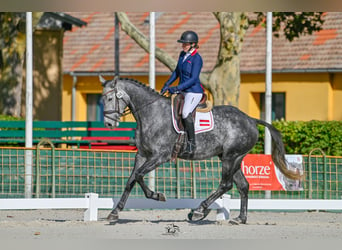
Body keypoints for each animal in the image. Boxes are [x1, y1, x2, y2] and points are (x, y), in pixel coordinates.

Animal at [100, 75, 300, 223]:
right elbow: (131, 180)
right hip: (231, 158)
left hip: (231, 157)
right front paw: (115, 212)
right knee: (243, 185)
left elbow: (140, 175)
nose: (109, 124)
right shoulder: (142, 155)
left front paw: (157, 195)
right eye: (102, 99)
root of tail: (251, 119)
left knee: (226, 184)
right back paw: (239, 219)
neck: (150, 113)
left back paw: (198, 211)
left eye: (110, 98)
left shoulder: (160, 156)